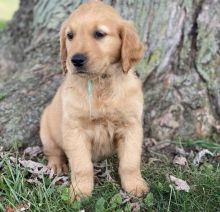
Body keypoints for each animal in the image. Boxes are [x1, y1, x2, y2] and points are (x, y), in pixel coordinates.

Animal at [40, 0, 149, 200]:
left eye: (99, 34)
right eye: (70, 36)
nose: (76, 60)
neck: (100, 82)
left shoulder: (131, 126)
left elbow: (130, 163)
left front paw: (135, 185)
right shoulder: (74, 129)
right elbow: (82, 166)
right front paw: (79, 192)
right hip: (46, 129)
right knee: (53, 151)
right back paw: (57, 165)